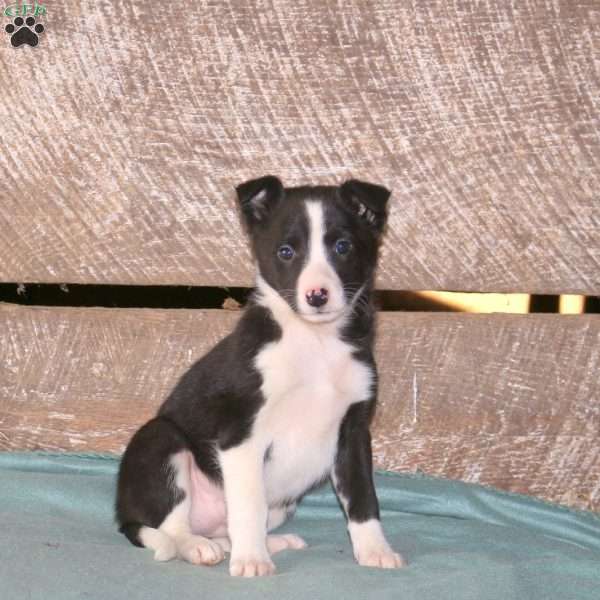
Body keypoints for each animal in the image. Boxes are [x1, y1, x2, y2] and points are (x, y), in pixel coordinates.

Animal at [115, 177, 406, 576]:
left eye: (343, 247)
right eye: (286, 251)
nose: (317, 295)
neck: (314, 342)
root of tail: (122, 514)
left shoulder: (353, 431)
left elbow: (363, 497)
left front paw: (375, 549)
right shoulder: (241, 435)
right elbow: (249, 505)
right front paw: (252, 561)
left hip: (281, 504)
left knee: (225, 529)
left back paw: (267, 543)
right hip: (160, 440)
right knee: (174, 527)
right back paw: (200, 547)